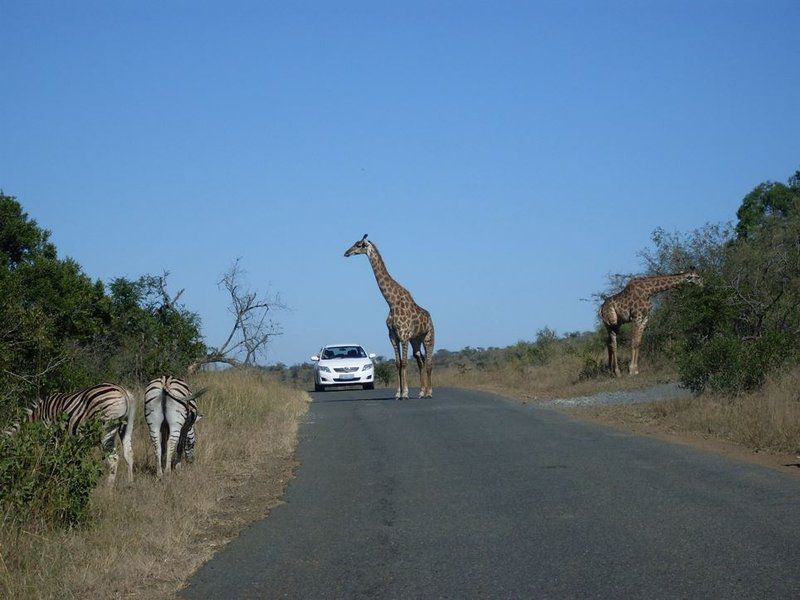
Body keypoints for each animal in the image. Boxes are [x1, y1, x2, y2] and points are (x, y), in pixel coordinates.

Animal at [6, 384, 136, 488]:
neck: (38, 417)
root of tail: (123, 391)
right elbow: (69, 459)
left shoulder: (51, 434)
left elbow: (49, 458)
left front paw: (48, 477)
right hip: (126, 426)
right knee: (128, 454)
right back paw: (129, 485)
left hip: (105, 429)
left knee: (113, 458)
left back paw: (108, 489)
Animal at [342, 234, 434, 398]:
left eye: (359, 245)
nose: (346, 252)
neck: (391, 302)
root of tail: (430, 317)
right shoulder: (393, 336)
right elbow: (397, 363)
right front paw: (398, 393)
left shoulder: (403, 335)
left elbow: (404, 363)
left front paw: (405, 393)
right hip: (416, 340)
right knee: (421, 360)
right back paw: (422, 392)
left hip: (429, 337)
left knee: (429, 362)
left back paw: (429, 392)